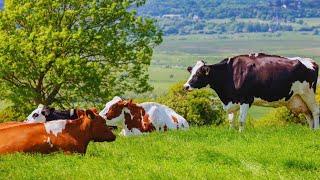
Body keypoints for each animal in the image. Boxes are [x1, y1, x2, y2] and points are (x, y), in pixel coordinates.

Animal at [184, 52, 318, 131]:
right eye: (191, 72)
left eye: (199, 74)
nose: (185, 86)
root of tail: (311, 61)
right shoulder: (232, 100)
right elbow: (231, 120)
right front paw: (230, 132)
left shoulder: (246, 99)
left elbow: (241, 121)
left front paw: (240, 134)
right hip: (298, 98)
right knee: (308, 114)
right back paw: (310, 131)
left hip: (308, 94)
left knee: (315, 111)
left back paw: (316, 130)